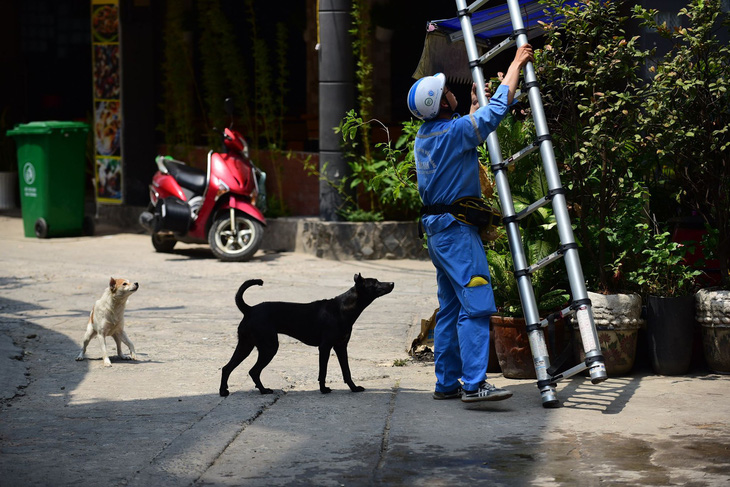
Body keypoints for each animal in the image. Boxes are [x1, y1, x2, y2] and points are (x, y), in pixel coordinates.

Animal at [219, 274, 392, 396]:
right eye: (375, 283)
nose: (392, 283)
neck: (342, 308)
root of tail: (249, 309)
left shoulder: (341, 347)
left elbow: (347, 371)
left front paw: (354, 388)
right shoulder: (325, 347)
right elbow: (323, 372)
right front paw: (323, 389)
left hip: (246, 346)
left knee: (227, 368)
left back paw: (223, 391)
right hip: (269, 347)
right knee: (253, 371)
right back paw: (263, 391)